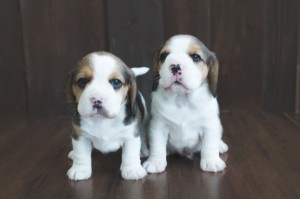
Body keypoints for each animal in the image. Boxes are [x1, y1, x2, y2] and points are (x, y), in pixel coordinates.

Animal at [67, 51, 149, 180]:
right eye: (82, 81)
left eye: (116, 82)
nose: (97, 99)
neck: (102, 120)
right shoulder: (80, 135)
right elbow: (81, 154)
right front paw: (80, 170)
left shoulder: (130, 135)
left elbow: (130, 153)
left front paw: (132, 169)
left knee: (143, 135)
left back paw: (143, 150)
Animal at [143, 35, 227, 173]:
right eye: (164, 56)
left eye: (196, 57)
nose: (175, 66)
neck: (182, 100)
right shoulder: (158, 125)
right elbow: (157, 145)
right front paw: (155, 161)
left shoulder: (209, 126)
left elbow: (209, 145)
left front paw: (211, 161)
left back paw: (220, 145)